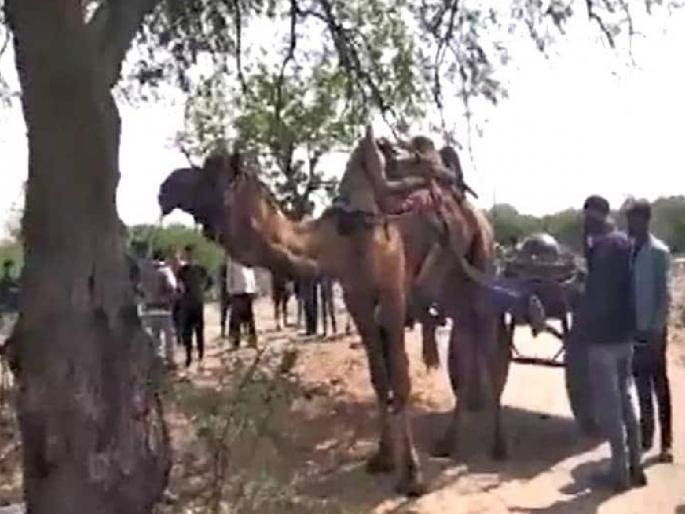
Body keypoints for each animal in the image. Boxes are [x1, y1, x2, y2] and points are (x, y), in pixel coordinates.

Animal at [158, 135, 512, 496]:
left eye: (208, 173)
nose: (164, 188)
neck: (344, 236)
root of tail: (477, 215)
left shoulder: (393, 297)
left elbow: (400, 381)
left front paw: (412, 475)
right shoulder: (358, 302)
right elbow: (379, 378)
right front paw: (383, 458)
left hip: (482, 263)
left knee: (488, 350)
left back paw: (498, 445)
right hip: (455, 292)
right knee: (466, 351)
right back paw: (448, 442)